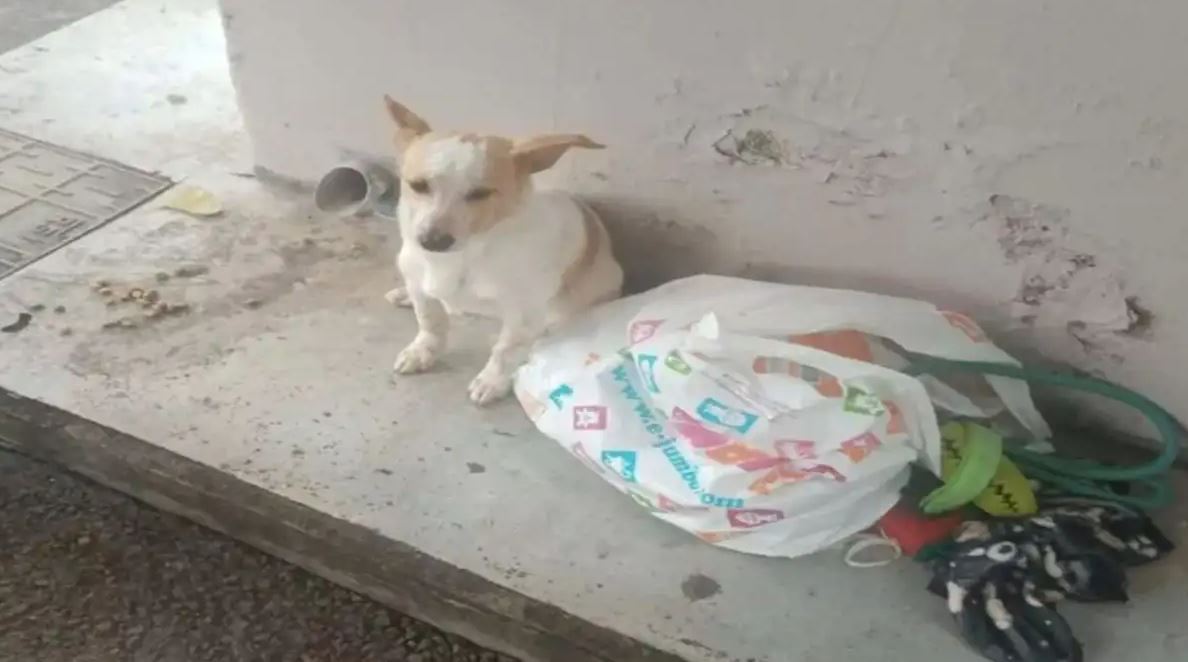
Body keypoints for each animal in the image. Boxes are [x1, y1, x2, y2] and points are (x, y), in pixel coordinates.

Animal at [381, 95, 623, 405]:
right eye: (418, 185)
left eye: (481, 193)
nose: (432, 241)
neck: (462, 258)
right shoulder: (420, 286)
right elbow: (430, 323)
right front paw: (422, 351)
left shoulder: (522, 316)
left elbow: (504, 351)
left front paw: (492, 381)